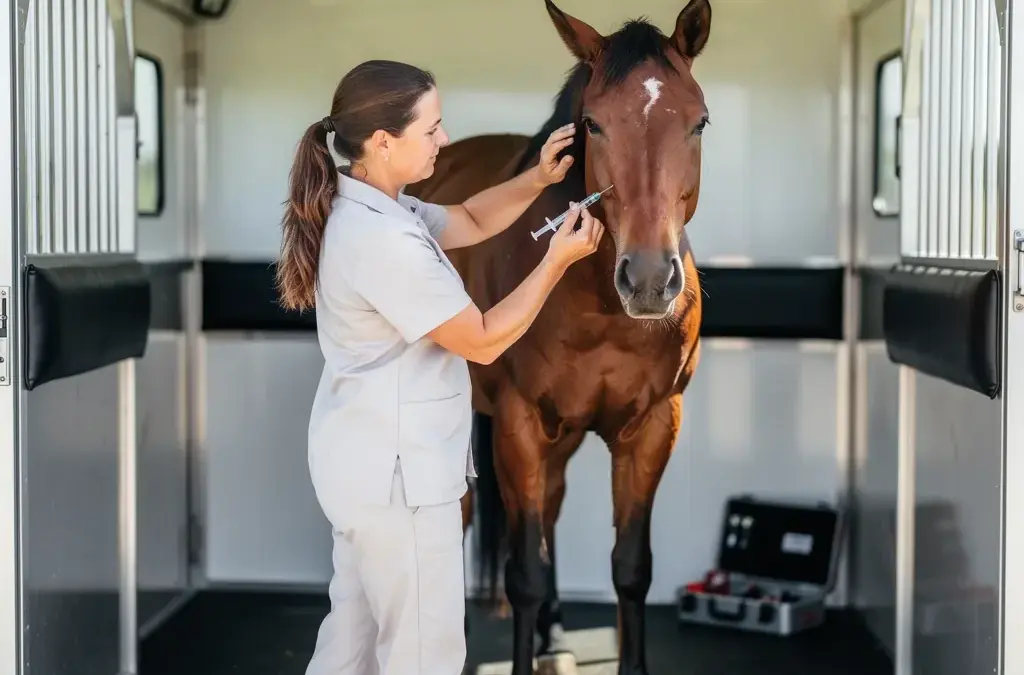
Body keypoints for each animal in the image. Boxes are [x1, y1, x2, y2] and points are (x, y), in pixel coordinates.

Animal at [406, 1, 712, 672]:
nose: (648, 280)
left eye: (699, 123)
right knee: (465, 515)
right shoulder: (519, 424)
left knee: (549, 507)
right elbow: (523, 574)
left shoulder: (654, 426)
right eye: (593, 125)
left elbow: (631, 570)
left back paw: (556, 639)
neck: (601, 308)